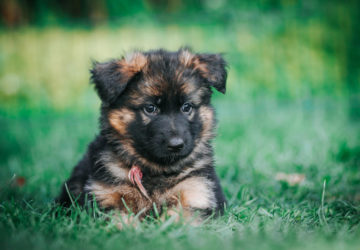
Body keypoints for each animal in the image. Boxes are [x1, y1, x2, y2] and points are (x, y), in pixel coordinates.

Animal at [57, 48, 228, 223]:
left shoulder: (196, 192)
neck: (156, 169)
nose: (176, 145)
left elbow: (176, 219)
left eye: (187, 107)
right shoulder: (105, 199)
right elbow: (120, 221)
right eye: (150, 108)